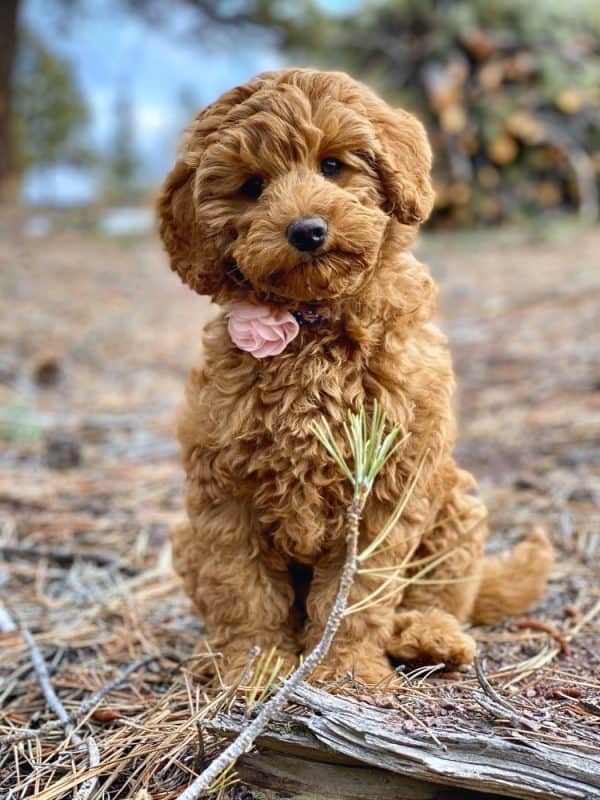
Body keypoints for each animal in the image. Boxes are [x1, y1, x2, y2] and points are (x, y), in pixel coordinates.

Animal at [158, 69, 552, 684]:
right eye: (252, 186)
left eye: (333, 165)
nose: (307, 231)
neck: (314, 323)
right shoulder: (224, 487)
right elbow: (241, 587)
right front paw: (253, 670)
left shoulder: (389, 483)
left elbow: (360, 590)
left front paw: (344, 672)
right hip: (186, 536)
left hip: (455, 505)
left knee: (440, 593)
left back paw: (429, 636)